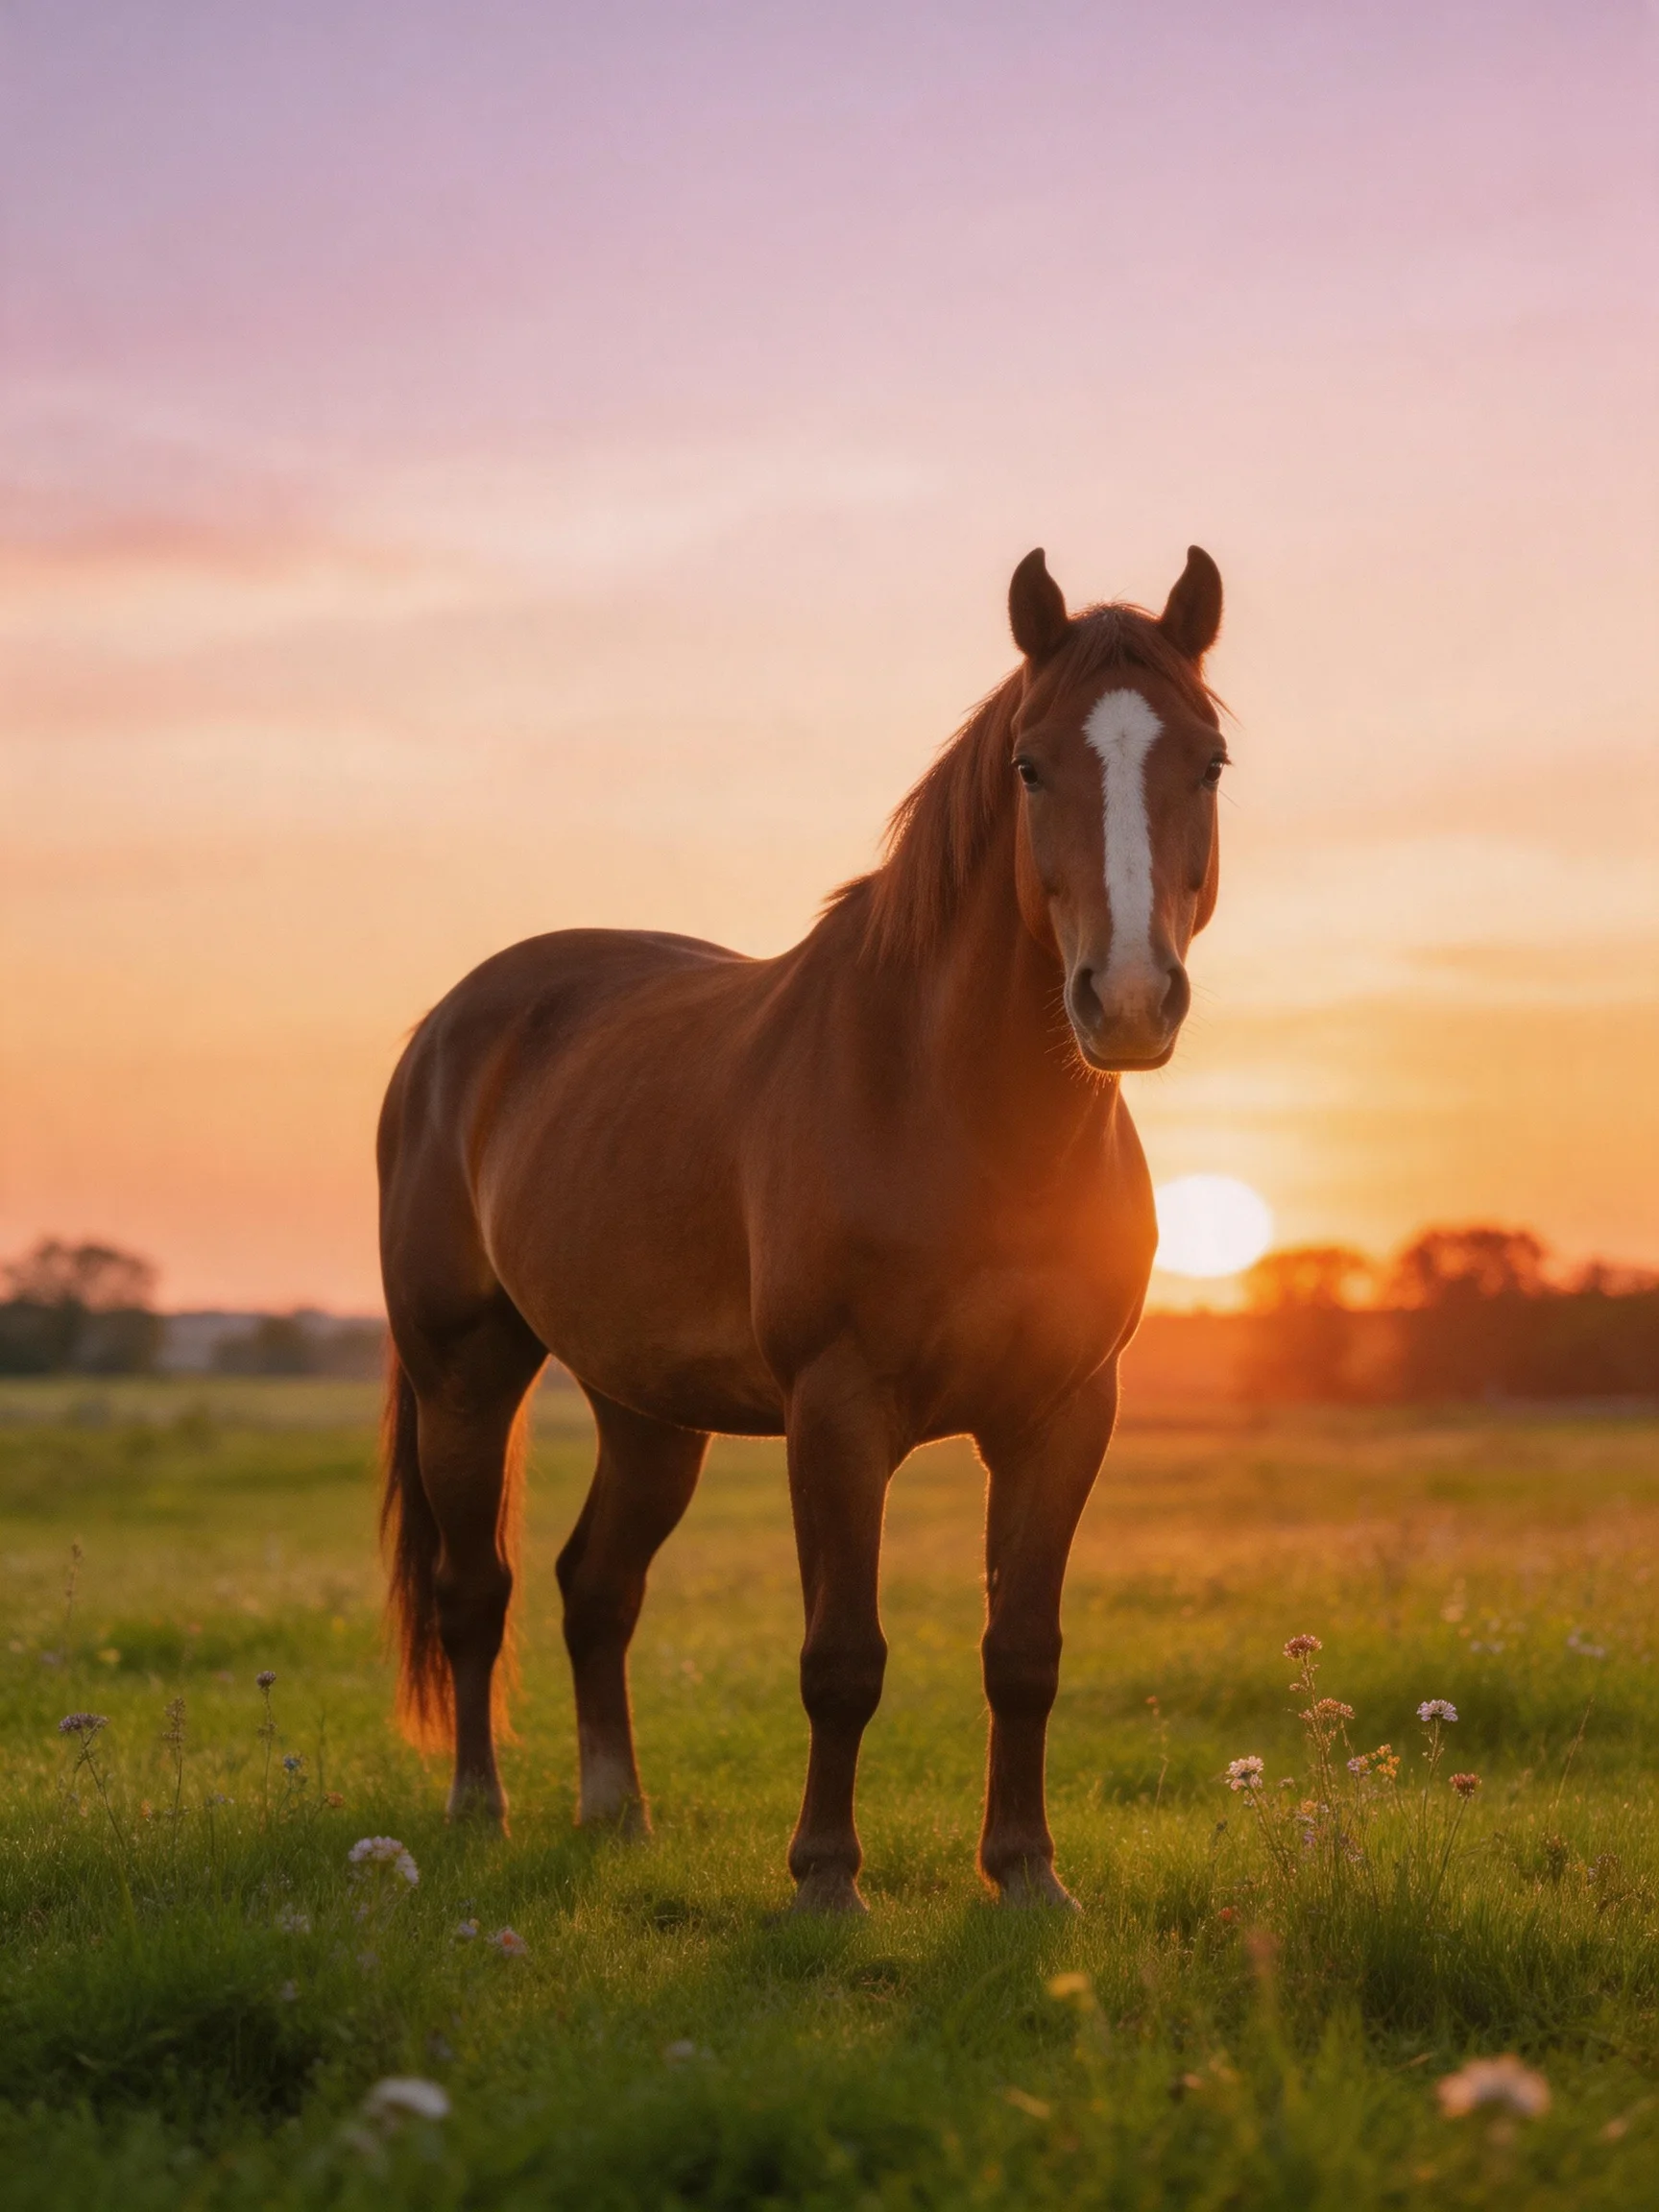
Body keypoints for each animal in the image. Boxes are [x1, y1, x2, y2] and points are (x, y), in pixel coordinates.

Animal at [377, 543, 1228, 1910]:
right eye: (1030, 765)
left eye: (1206, 761)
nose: (1133, 1000)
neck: (960, 1113)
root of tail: (449, 1027)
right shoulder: (837, 1412)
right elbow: (842, 1658)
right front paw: (826, 1879)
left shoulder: (1063, 1414)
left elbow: (1022, 1652)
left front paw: (1026, 1875)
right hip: (465, 1372)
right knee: (476, 1593)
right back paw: (479, 1812)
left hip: (647, 1410)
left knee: (595, 1588)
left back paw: (615, 1812)